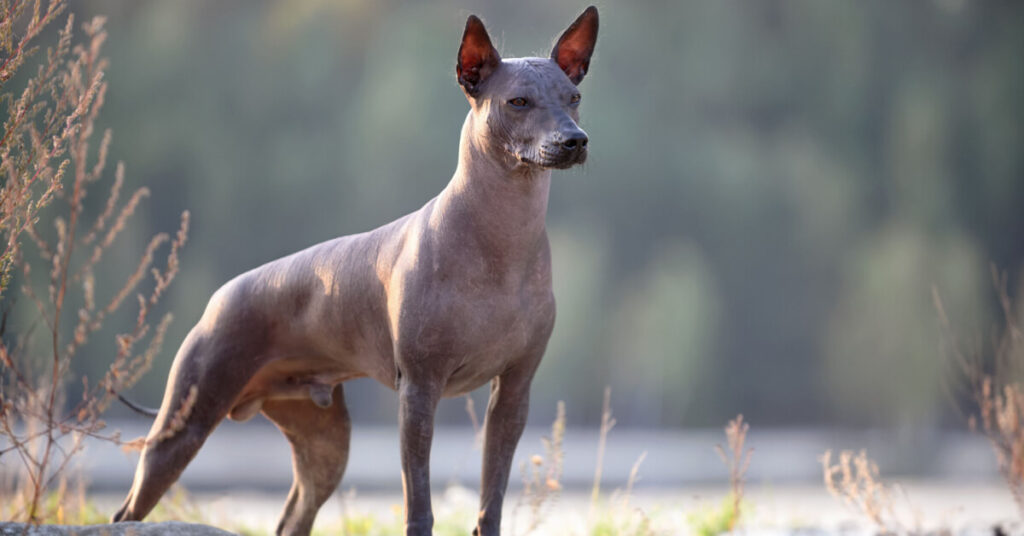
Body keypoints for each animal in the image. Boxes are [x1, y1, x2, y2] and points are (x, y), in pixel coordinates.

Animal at [113, 8, 598, 536]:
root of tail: (218, 298)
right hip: (185, 424)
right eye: (518, 102)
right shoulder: (418, 393)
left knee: (293, 517)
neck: (502, 241)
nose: (574, 140)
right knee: (127, 511)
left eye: (574, 99)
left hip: (325, 442)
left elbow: (493, 497)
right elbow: (418, 500)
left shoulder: (512, 394)